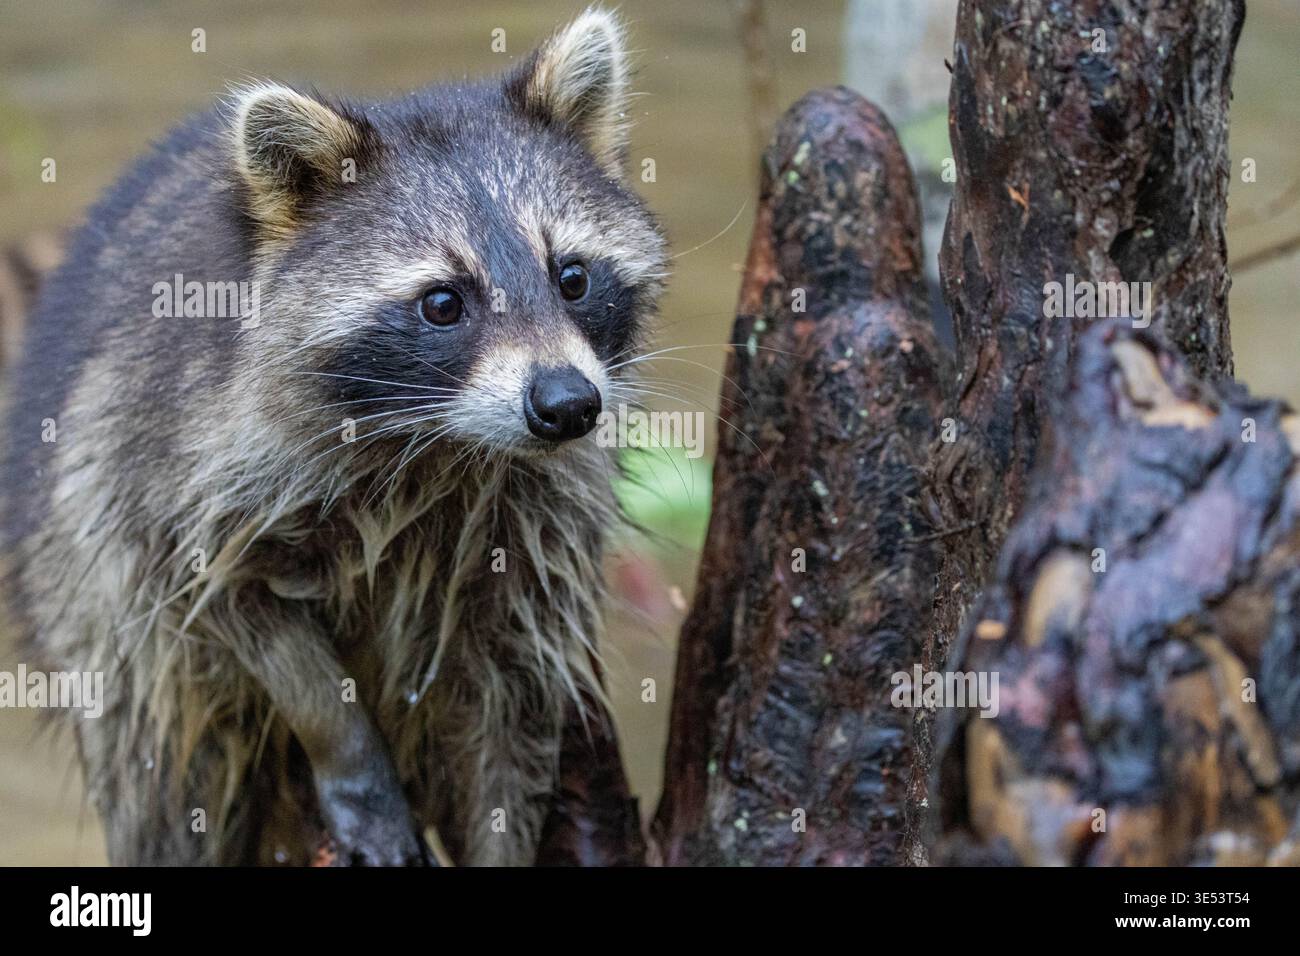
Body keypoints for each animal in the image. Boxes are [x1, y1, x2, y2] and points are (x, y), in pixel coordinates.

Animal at [1, 8, 666, 866]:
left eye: (573, 278)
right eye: (443, 303)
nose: (568, 406)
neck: (441, 440)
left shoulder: (533, 541)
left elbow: (507, 725)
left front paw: (500, 836)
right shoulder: (170, 479)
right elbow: (242, 614)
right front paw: (352, 760)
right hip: (100, 639)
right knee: (172, 781)